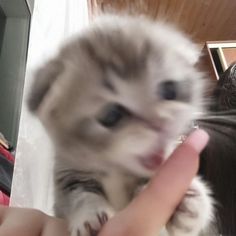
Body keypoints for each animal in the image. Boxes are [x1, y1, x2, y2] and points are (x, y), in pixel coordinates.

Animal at [28, 15, 214, 236]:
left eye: (169, 90)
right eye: (111, 115)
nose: (160, 123)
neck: (117, 171)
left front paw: (191, 202)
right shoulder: (66, 175)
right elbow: (78, 194)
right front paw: (90, 215)